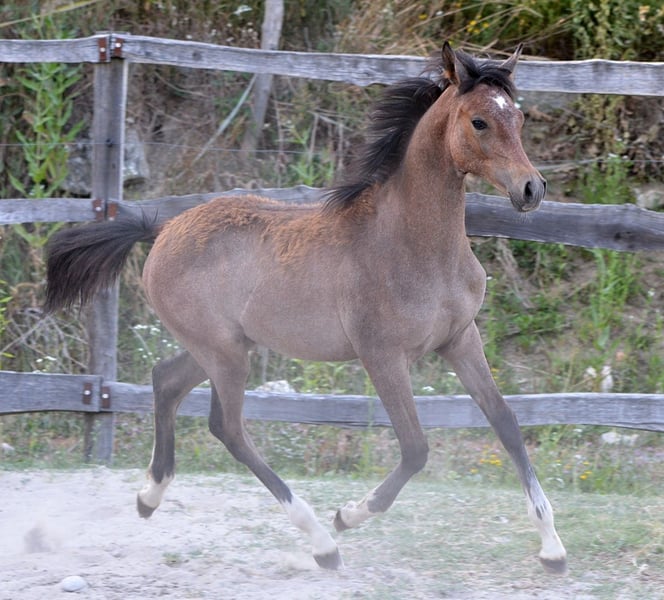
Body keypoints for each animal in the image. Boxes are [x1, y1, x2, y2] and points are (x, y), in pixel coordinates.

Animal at [44, 42, 567, 573]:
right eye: (479, 122)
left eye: (518, 117)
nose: (531, 189)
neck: (413, 244)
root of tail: (163, 229)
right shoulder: (382, 355)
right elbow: (416, 448)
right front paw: (348, 515)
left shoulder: (460, 339)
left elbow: (506, 423)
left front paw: (553, 548)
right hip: (224, 354)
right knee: (228, 428)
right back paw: (322, 542)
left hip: (222, 347)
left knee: (165, 381)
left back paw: (149, 496)